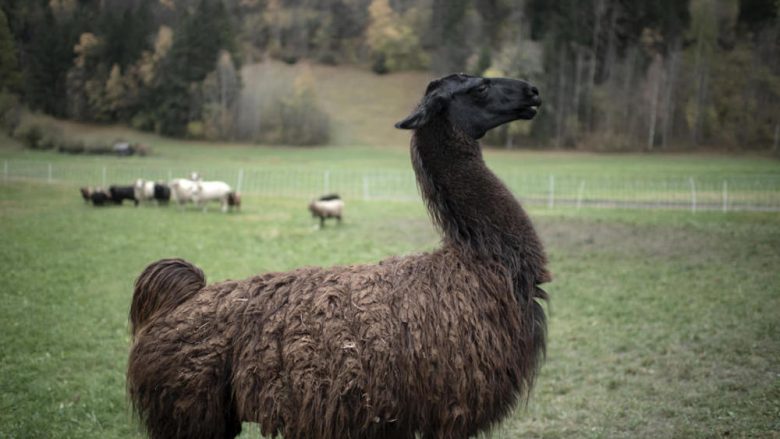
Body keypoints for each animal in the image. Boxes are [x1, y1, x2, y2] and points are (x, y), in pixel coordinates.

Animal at [126, 74, 548, 438]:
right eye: (480, 87)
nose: (532, 92)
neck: (482, 260)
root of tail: (177, 301)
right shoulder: (452, 408)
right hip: (190, 413)